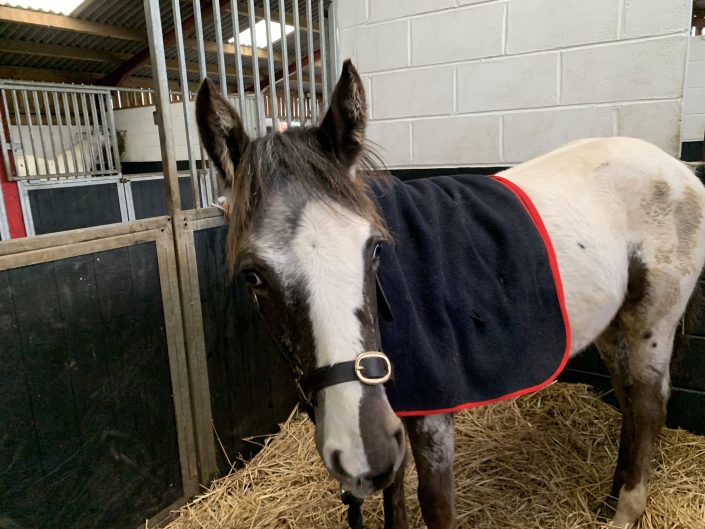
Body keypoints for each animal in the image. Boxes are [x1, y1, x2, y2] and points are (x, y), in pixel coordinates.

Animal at [195, 61, 705, 529]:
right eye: (253, 276)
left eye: (375, 248)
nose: (361, 454)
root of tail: (681, 169)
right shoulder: (394, 417)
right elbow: (395, 503)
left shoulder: (432, 421)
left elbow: (434, 506)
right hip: (615, 328)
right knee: (630, 403)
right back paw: (610, 500)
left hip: (651, 323)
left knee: (647, 403)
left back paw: (625, 512)